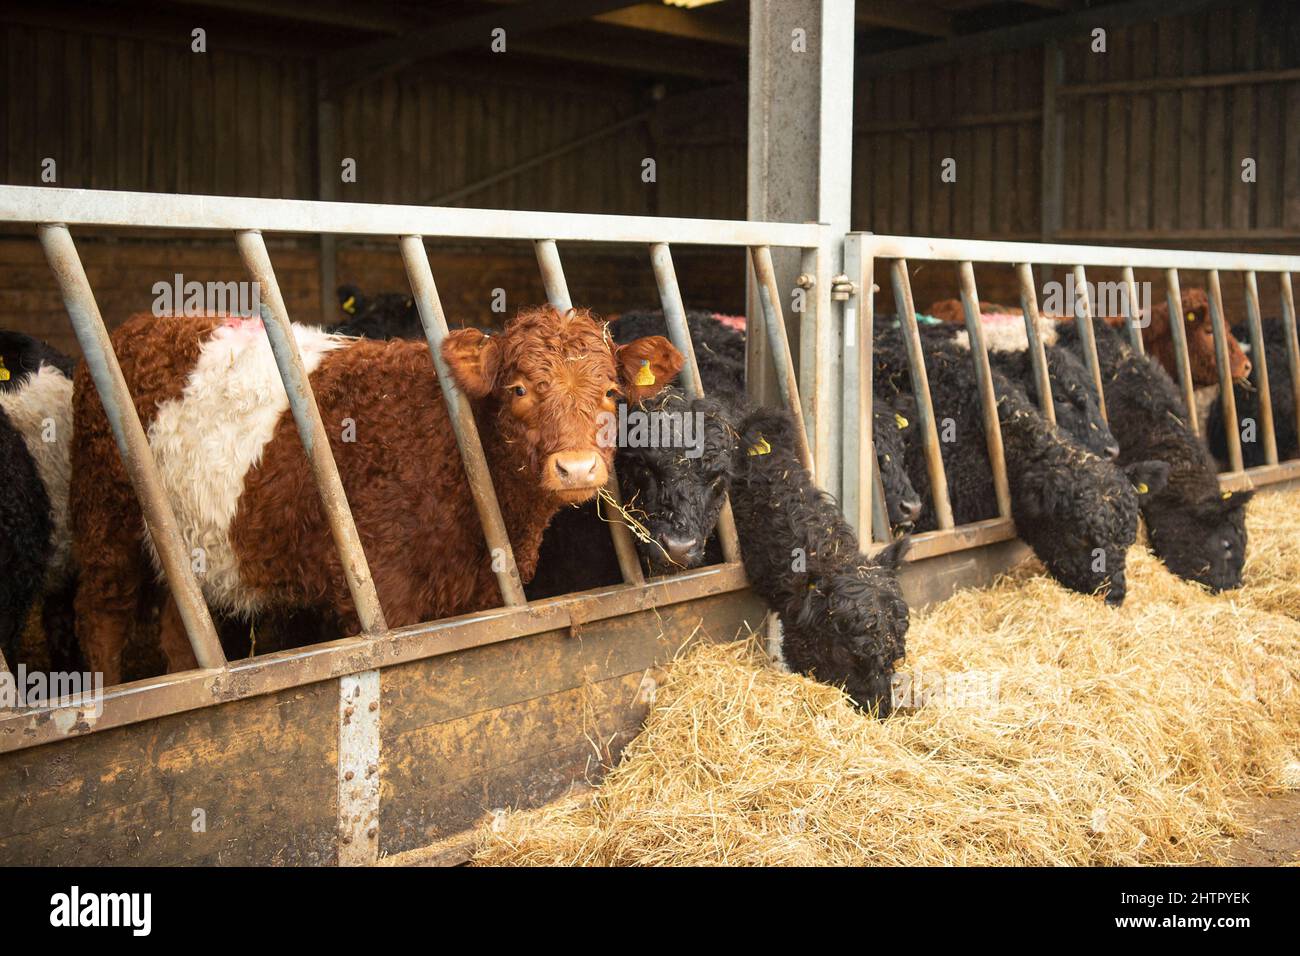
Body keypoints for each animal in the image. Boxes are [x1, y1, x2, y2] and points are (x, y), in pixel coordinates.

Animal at [71, 306, 681, 681]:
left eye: (611, 392)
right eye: (518, 389)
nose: (577, 468)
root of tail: (144, 324)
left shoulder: (484, 592)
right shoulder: (384, 590)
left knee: (182, 633)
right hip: (107, 515)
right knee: (101, 613)